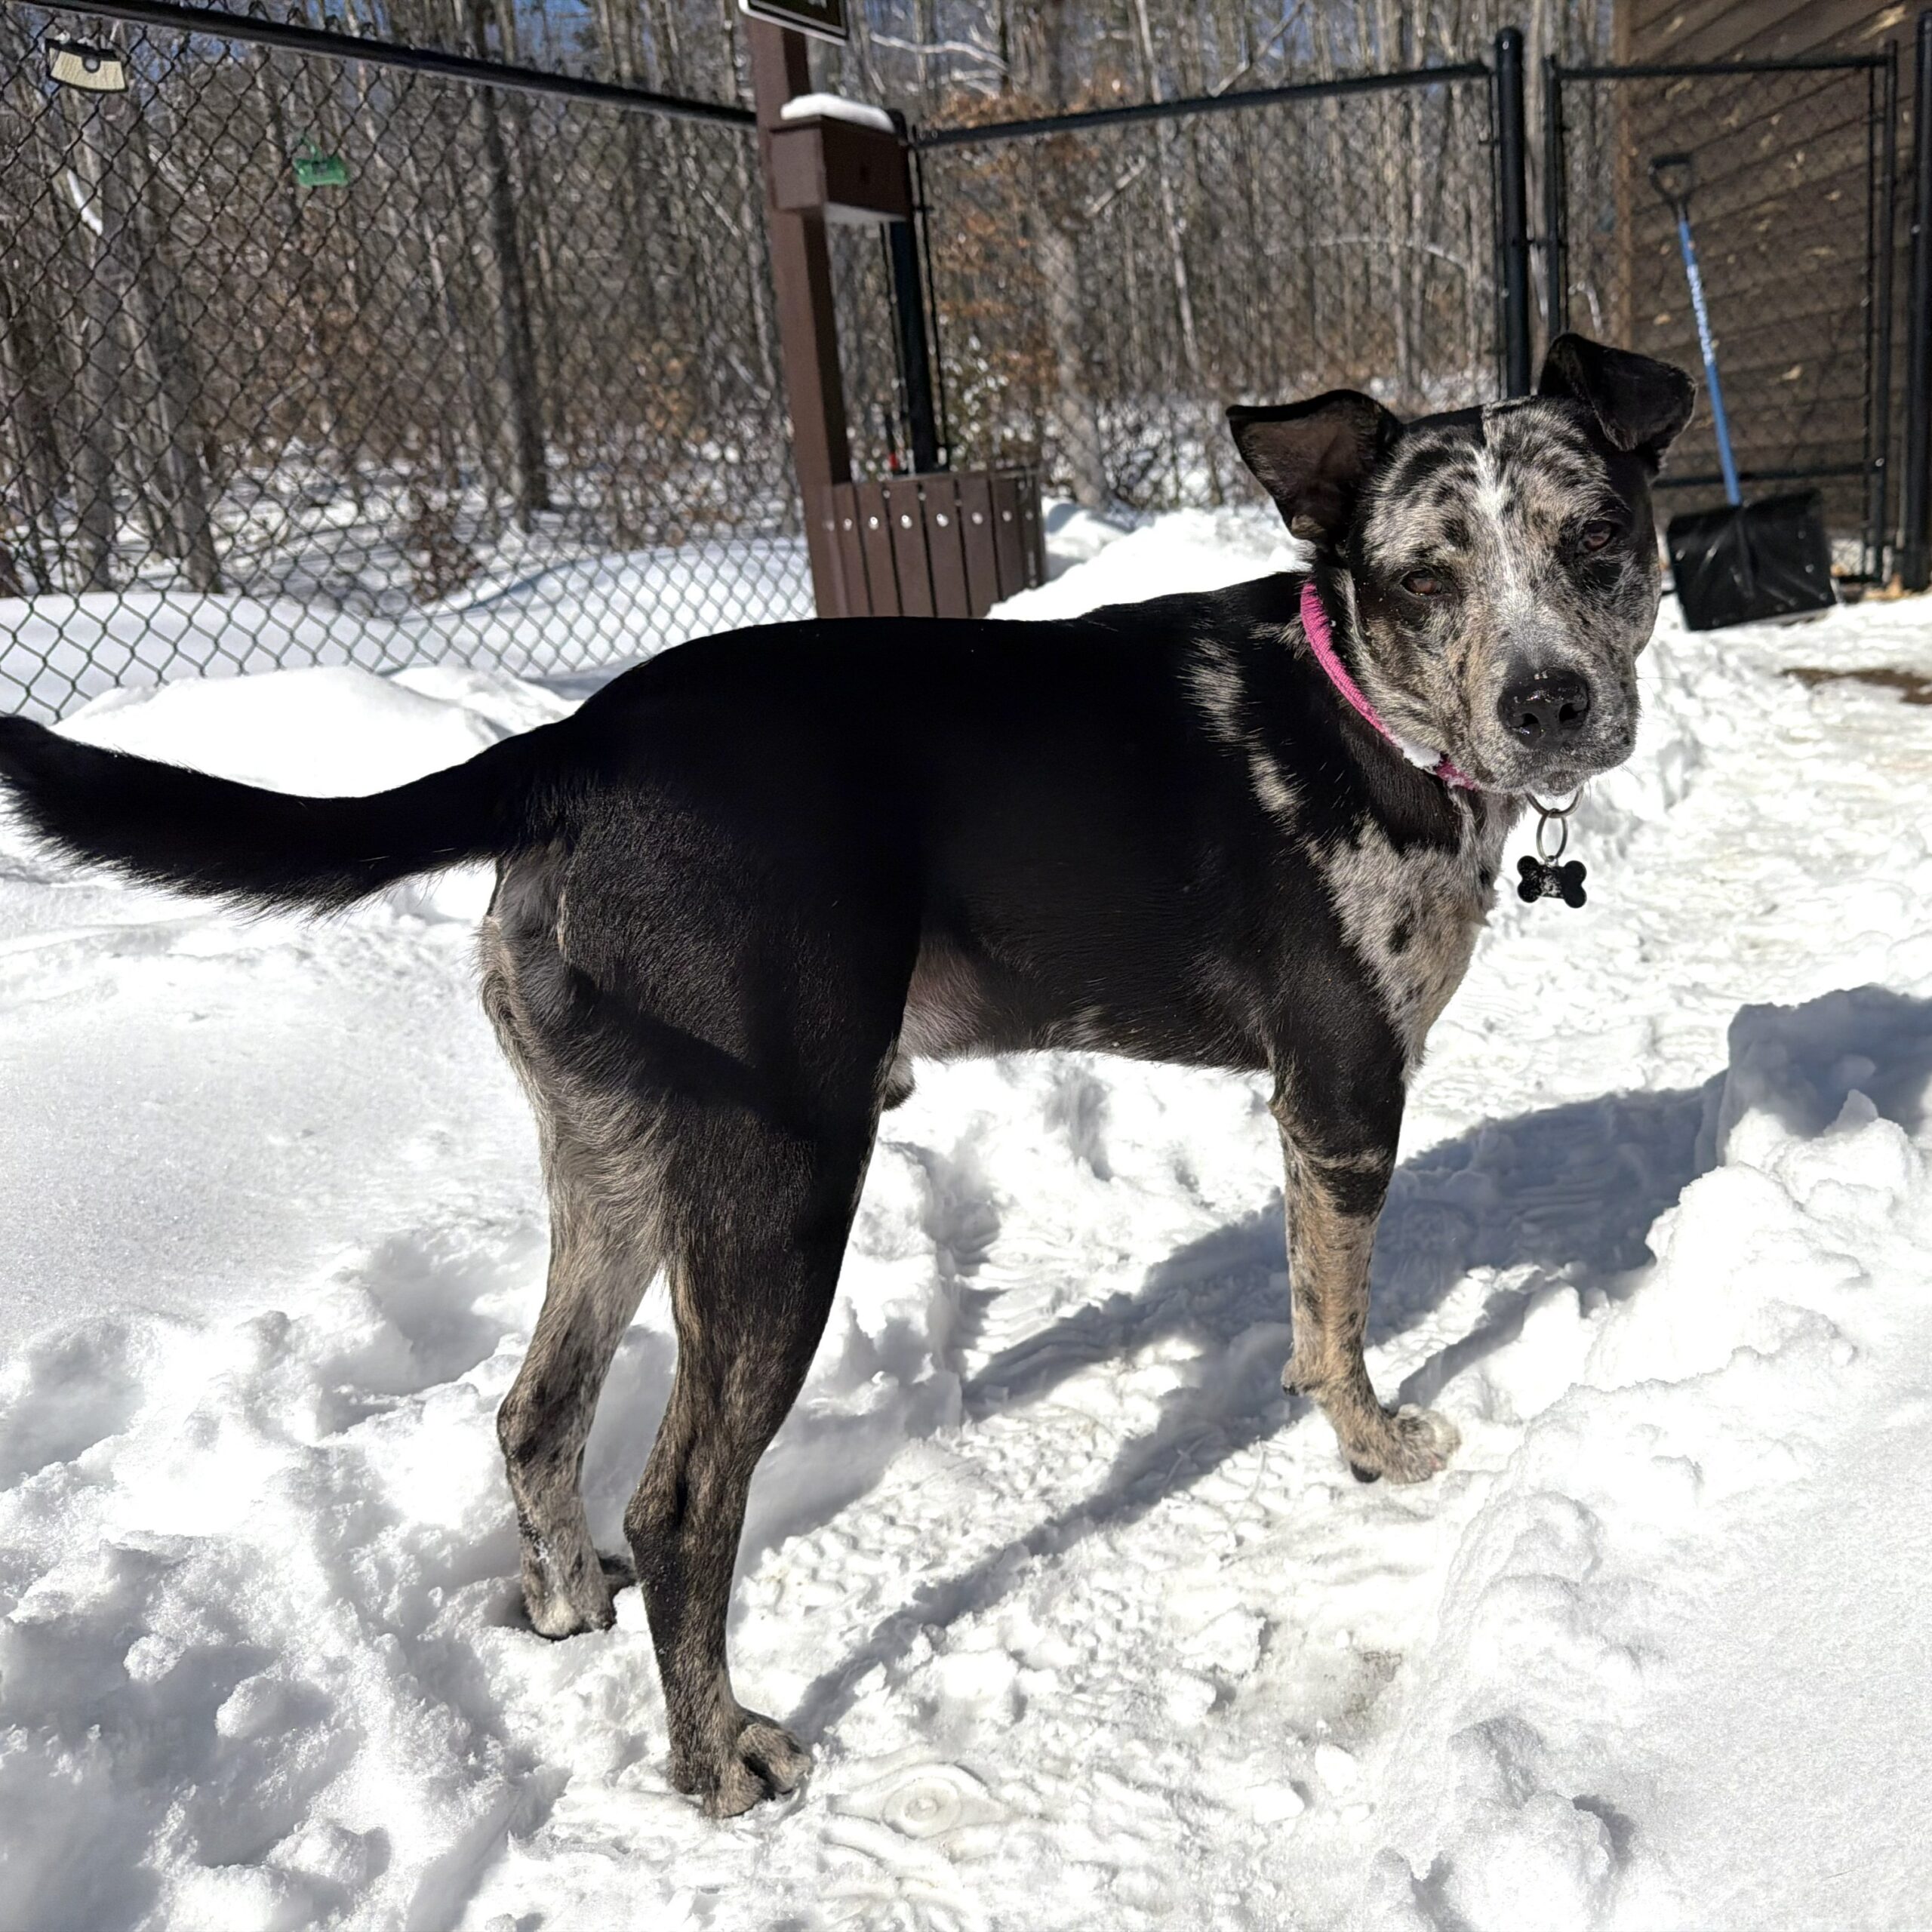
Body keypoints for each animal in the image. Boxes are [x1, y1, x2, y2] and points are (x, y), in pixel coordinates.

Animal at [0, 333, 1693, 1816]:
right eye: (1426, 577)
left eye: (1598, 535)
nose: (1551, 700)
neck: (1354, 703)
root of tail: (571, 748)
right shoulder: (1345, 1087)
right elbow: (1338, 1326)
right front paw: (1374, 1447)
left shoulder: (1297, 1111)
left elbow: (1299, 1301)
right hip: (781, 1183)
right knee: (682, 1505)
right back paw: (716, 1761)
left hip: (613, 1163)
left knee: (535, 1411)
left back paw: (562, 1605)